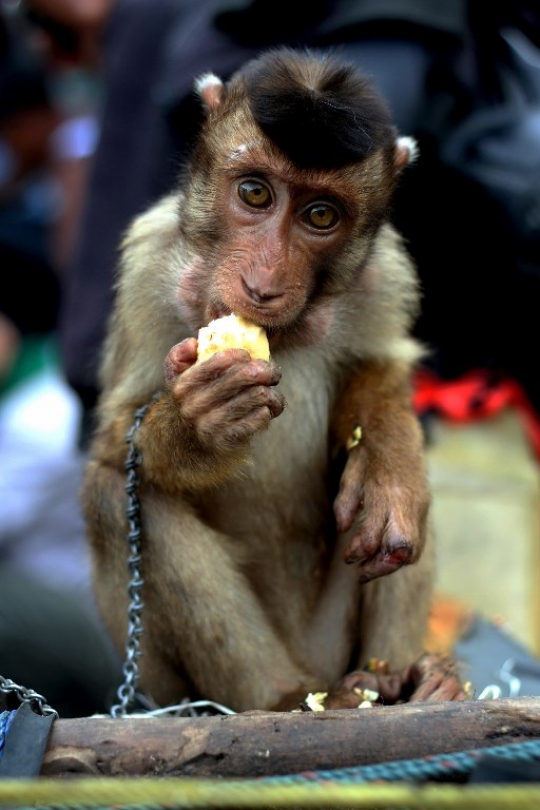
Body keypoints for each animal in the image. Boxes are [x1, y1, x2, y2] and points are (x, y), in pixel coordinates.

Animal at [82, 47, 466, 712]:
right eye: (255, 193)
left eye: (321, 215)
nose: (262, 283)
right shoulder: (147, 264)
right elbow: (116, 438)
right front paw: (197, 425)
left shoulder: (385, 273)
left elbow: (382, 365)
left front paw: (388, 469)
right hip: (169, 686)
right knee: (113, 497)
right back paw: (284, 699)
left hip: (331, 637)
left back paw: (405, 680)